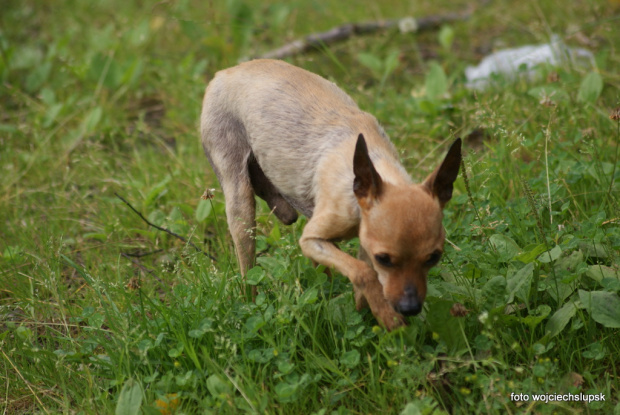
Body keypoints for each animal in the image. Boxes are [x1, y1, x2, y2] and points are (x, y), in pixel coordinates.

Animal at [199, 59, 460, 332]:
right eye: (385, 259)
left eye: (433, 258)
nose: (411, 308)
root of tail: (227, 71)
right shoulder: (312, 240)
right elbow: (363, 273)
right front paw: (388, 318)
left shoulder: (359, 243)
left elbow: (362, 287)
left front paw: (369, 312)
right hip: (239, 198)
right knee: (247, 265)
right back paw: (250, 305)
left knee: (290, 220)